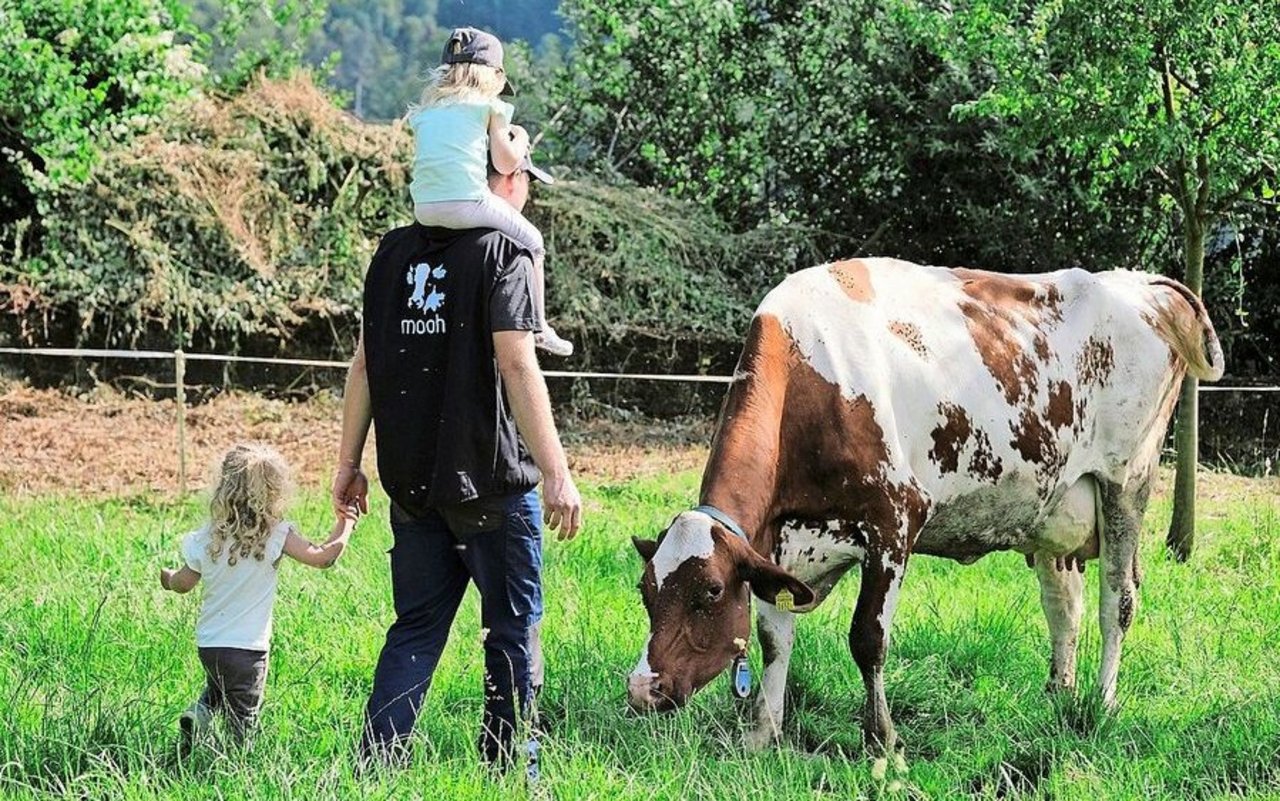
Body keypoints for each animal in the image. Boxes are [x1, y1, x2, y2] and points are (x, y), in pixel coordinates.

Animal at [624, 258, 1223, 752]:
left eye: (709, 592)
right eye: (646, 591)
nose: (640, 690)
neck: (811, 379)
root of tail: (1143, 283)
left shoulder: (892, 523)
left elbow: (867, 638)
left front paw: (882, 739)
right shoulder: (778, 545)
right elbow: (774, 637)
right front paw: (763, 733)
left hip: (1125, 484)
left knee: (1116, 602)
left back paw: (1102, 704)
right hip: (1055, 513)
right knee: (1064, 607)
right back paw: (1059, 695)